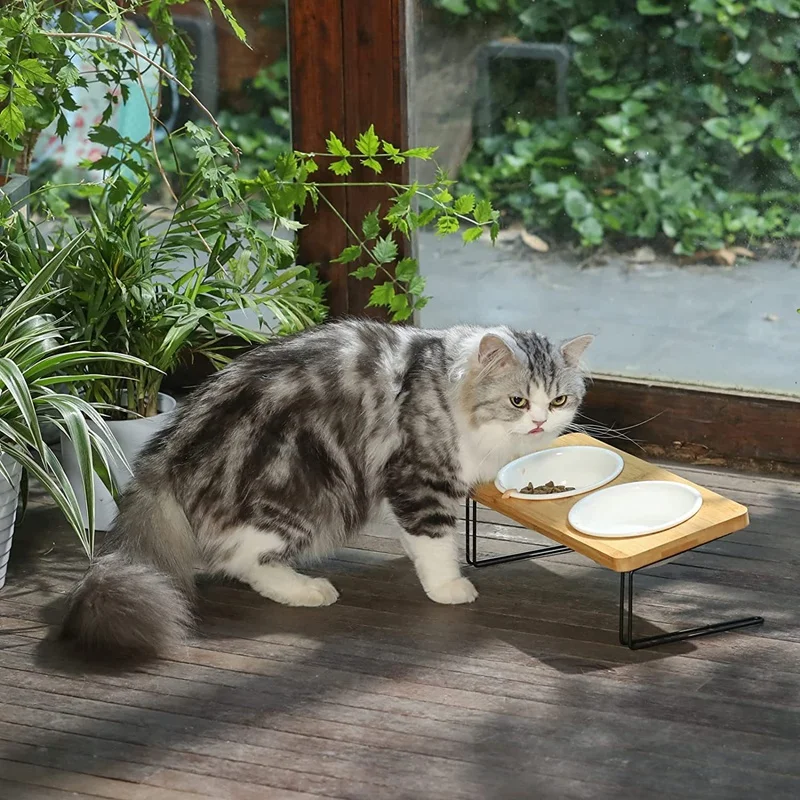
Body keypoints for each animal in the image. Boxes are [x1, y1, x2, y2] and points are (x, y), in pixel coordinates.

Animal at [61, 316, 588, 660]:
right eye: (518, 401)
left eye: (559, 400)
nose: (540, 423)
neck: (445, 388)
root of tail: (171, 446)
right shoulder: (420, 478)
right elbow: (434, 541)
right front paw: (448, 587)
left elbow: (413, 538)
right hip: (304, 497)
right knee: (239, 560)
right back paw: (306, 590)